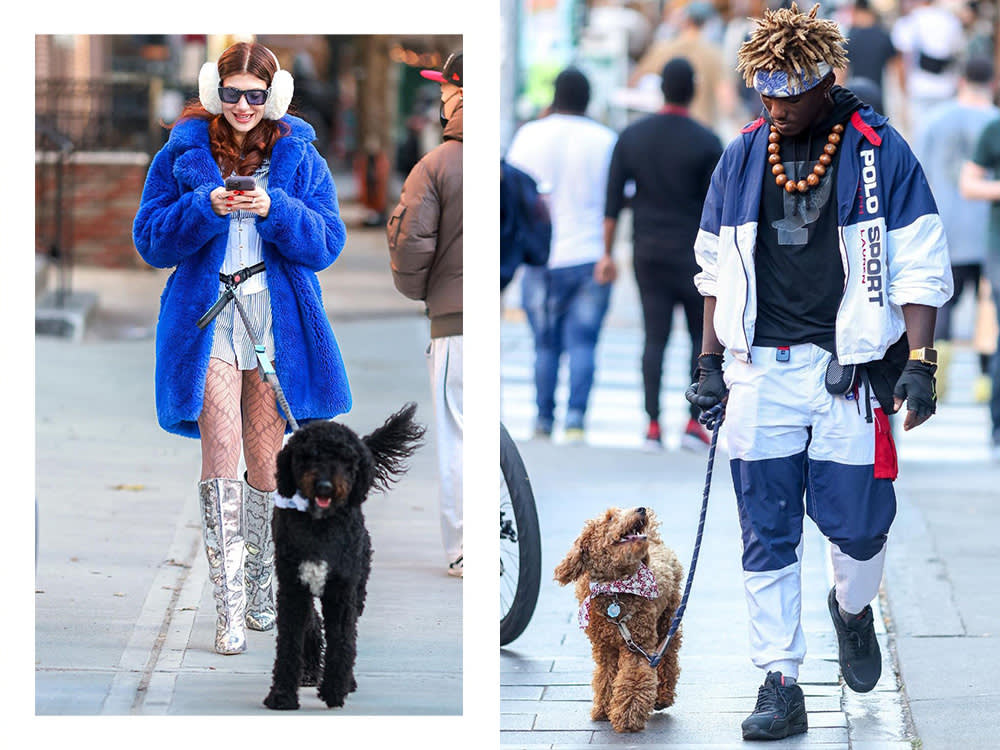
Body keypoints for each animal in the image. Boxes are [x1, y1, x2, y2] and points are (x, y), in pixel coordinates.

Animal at [262, 406, 422, 712]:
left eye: (345, 459)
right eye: (309, 455)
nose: (325, 486)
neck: (320, 527)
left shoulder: (342, 592)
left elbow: (343, 641)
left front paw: (336, 690)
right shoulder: (293, 590)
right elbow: (289, 642)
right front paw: (282, 696)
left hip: (358, 589)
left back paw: (345, 680)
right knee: (313, 624)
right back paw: (310, 671)